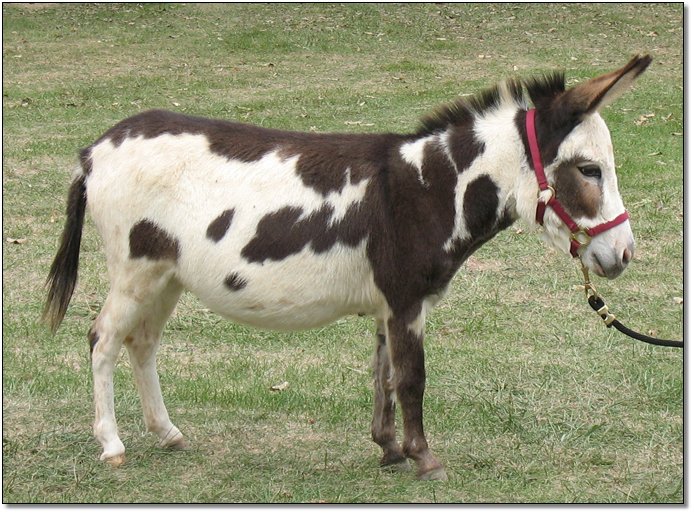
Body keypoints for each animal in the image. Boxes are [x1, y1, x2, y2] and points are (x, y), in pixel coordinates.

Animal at [44, 55, 651, 480]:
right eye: (590, 170)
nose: (625, 255)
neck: (431, 187)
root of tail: (96, 148)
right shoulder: (406, 300)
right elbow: (411, 378)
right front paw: (424, 458)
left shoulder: (388, 305)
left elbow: (382, 375)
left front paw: (389, 449)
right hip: (134, 270)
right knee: (102, 339)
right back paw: (112, 445)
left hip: (166, 275)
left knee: (141, 343)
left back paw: (166, 433)